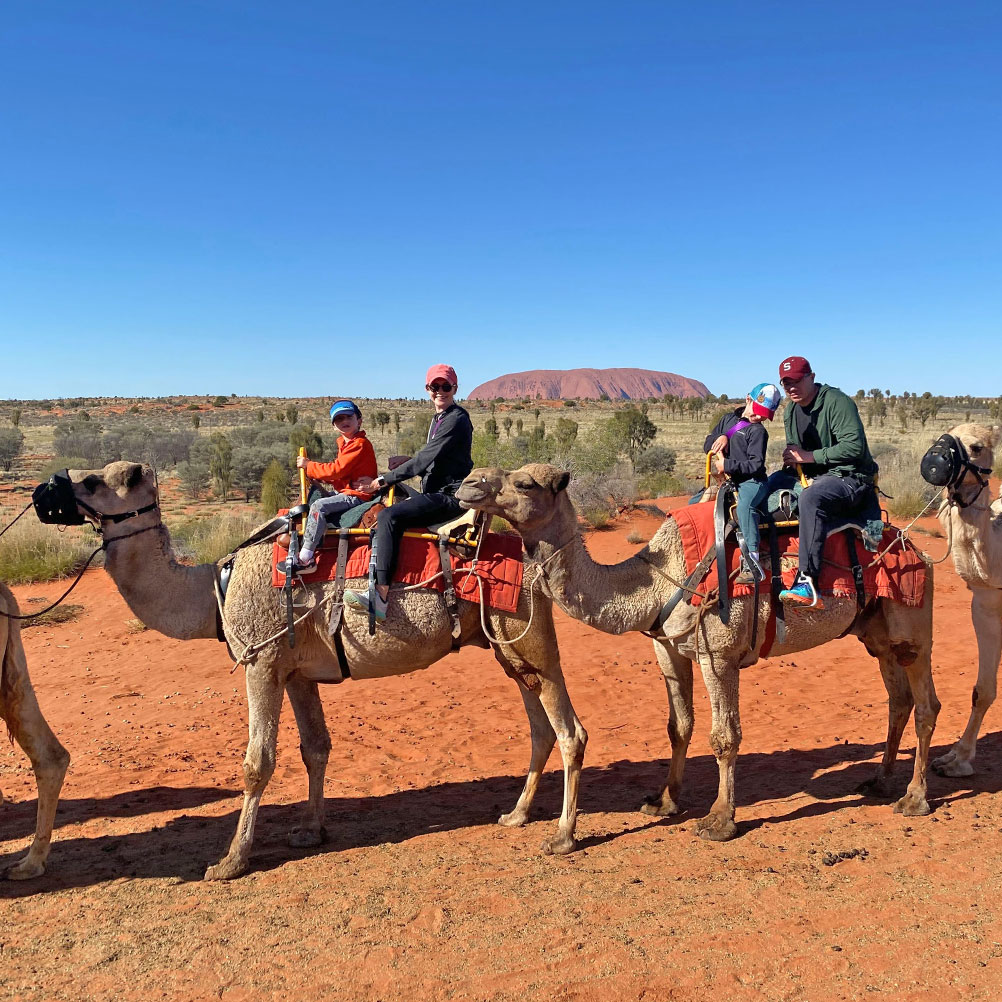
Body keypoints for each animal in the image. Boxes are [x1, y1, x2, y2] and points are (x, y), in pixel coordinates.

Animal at [54, 460, 585, 877]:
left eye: (100, 481)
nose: (52, 490)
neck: (211, 589)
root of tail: (533, 559)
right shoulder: (296, 671)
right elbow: (315, 748)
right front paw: (310, 830)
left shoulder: (261, 661)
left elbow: (257, 763)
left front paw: (230, 861)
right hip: (506, 646)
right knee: (540, 725)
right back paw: (516, 815)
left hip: (530, 634)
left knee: (569, 730)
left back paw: (563, 837)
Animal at [458, 460, 941, 837]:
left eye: (525, 483)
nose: (467, 484)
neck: (656, 579)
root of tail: (916, 549)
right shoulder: (670, 649)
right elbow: (680, 725)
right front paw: (665, 801)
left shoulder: (718, 653)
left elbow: (725, 736)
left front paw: (720, 819)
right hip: (877, 635)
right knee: (898, 700)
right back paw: (879, 782)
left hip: (912, 624)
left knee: (926, 704)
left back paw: (915, 798)